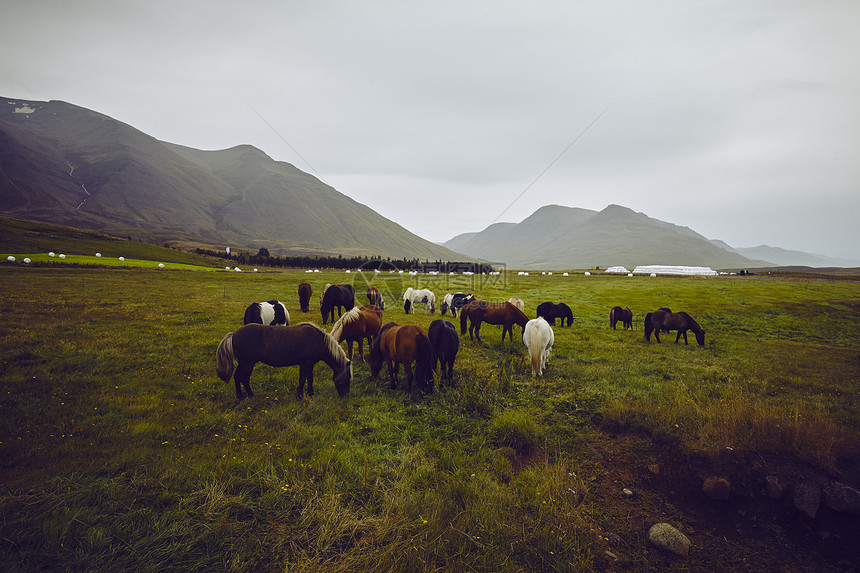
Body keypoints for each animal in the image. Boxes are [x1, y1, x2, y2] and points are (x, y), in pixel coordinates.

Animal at [217, 324, 352, 400]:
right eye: (347, 378)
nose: (345, 396)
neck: (318, 340)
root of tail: (233, 334)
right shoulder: (305, 363)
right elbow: (302, 379)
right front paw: (299, 396)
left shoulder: (310, 364)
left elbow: (310, 378)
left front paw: (310, 393)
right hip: (247, 363)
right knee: (241, 377)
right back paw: (244, 396)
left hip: (247, 363)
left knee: (241, 378)